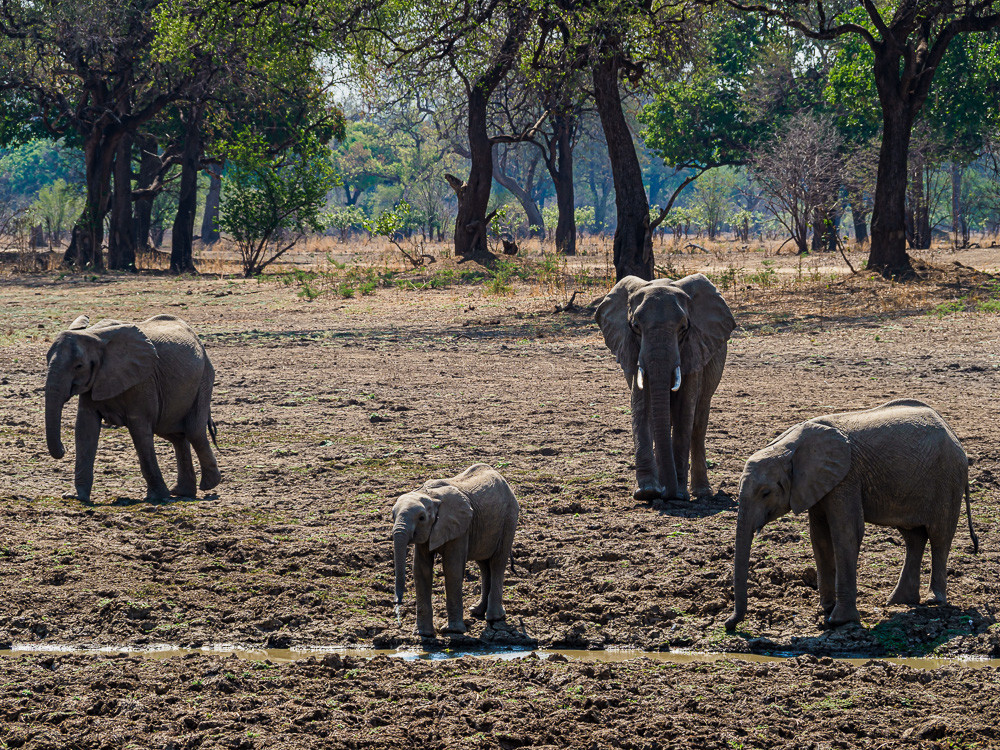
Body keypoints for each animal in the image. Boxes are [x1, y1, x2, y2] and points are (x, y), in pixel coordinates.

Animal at [45, 314, 221, 502]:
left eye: (78, 366)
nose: (63, 449)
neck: (93, 335)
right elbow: (85, 429)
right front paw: (76, 497)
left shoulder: (143, 380)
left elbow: (139, 430)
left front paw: (157, 498)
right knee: (177, 436)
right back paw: (182, 492)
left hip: (204, 378)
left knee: (194, 432)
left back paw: (209, 485)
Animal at [390, 468, 520, 636]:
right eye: (393, 515)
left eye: (422, 518)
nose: (398, 604)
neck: (430, 496)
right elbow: (421, 570)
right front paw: (423, 633)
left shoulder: (460, 527)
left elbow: (452, 568)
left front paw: (452, 631)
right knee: (484, 565)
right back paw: (476, 610)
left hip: (509, 518)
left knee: (497, 562)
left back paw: (494, 618)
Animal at [592, 274, 736, 502]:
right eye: (635, 326)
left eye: (684, 328)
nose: (667, 492)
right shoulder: (632, 349)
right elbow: (641, 406)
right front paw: (647, 491)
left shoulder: (695, 347)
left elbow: (684, 410)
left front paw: (679, 494)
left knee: (698, 422)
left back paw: (701, 492)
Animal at [728, 400, 976, 636]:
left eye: (765, 493)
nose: (729, 624)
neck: (788, 448)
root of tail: (953, 434)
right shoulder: (817, 484)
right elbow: (820, 537)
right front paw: (826, 609)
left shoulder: (846, 478)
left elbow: (846, 532)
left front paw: (839, 621)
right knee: (913, 538)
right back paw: (899, 601)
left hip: (947, 479)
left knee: (939, 536)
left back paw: (934, 600)